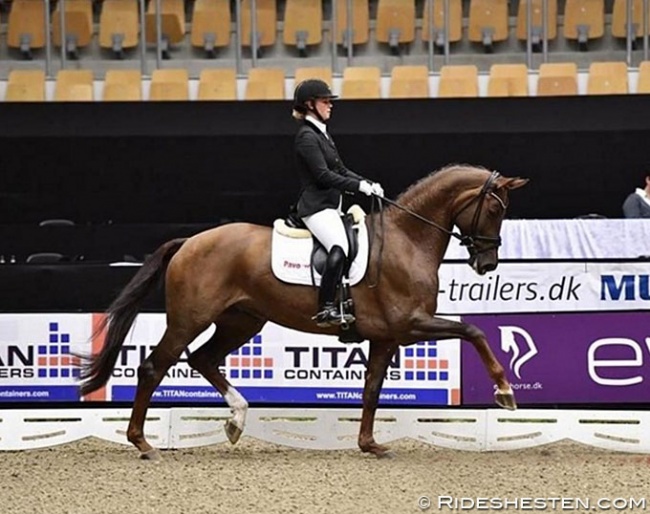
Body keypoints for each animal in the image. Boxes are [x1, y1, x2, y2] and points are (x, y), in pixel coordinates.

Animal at [79, 164, 528, 459]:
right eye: (494, 210)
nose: (487, 264)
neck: (408, 239)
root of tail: (189, 241)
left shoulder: (387, 336)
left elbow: (371, 390)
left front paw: (369, 444)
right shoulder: (411, 324)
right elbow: (474, 331)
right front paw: (504, 392)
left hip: (242, 320)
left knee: (203, 358)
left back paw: (236, 421)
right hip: (190, 320)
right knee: (154, 367)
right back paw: (143, 443)